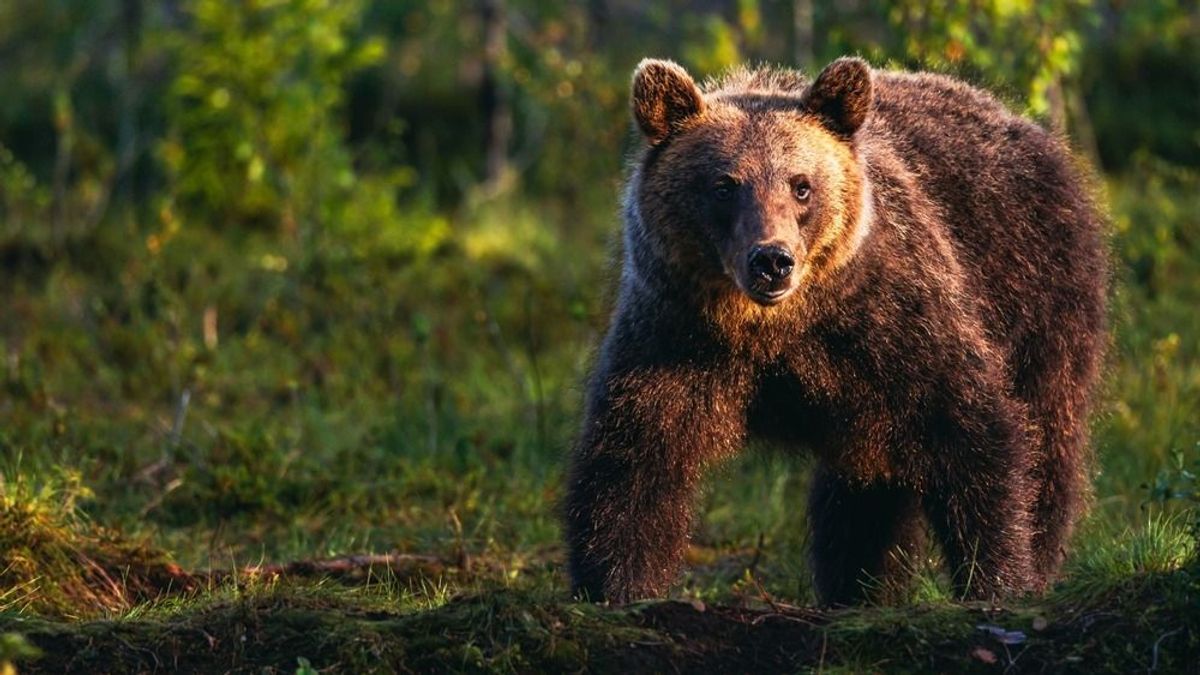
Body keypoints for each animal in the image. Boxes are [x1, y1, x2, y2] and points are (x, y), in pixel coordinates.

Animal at [561, 59, 1104, 605]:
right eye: (724, 185)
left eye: (801, 185)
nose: (772, 260)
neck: (774, 329)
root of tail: (1022, 122)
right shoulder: (674, 335)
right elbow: (636, 457)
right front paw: (615, 584)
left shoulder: (893, 324)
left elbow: (971, 431)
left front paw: (1001, 577)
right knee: (865, 487)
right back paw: (859, 585)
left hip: (1037, 294)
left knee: (1049, 432)